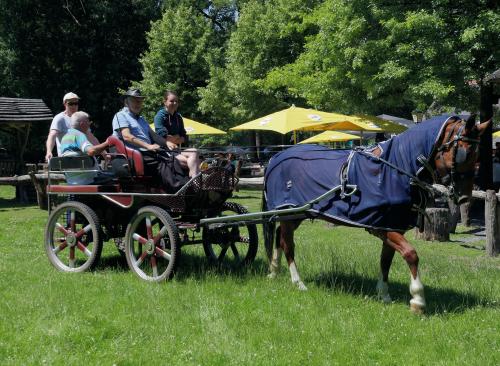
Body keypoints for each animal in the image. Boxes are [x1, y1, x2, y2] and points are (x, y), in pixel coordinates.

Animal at [264, 113, 490, 312]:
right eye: (464, 153)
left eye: (478, 155)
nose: (464, 197)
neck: (395, 169)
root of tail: (276, 157)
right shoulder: (384, 228)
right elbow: (411, 254)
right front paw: (417, 300)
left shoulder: (390, 225)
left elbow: (385, 261)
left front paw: (384, 294)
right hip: (289, 214)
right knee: (288, 244)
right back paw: (298, 282)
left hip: (296, 214)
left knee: (278, 237)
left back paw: (274, 271)